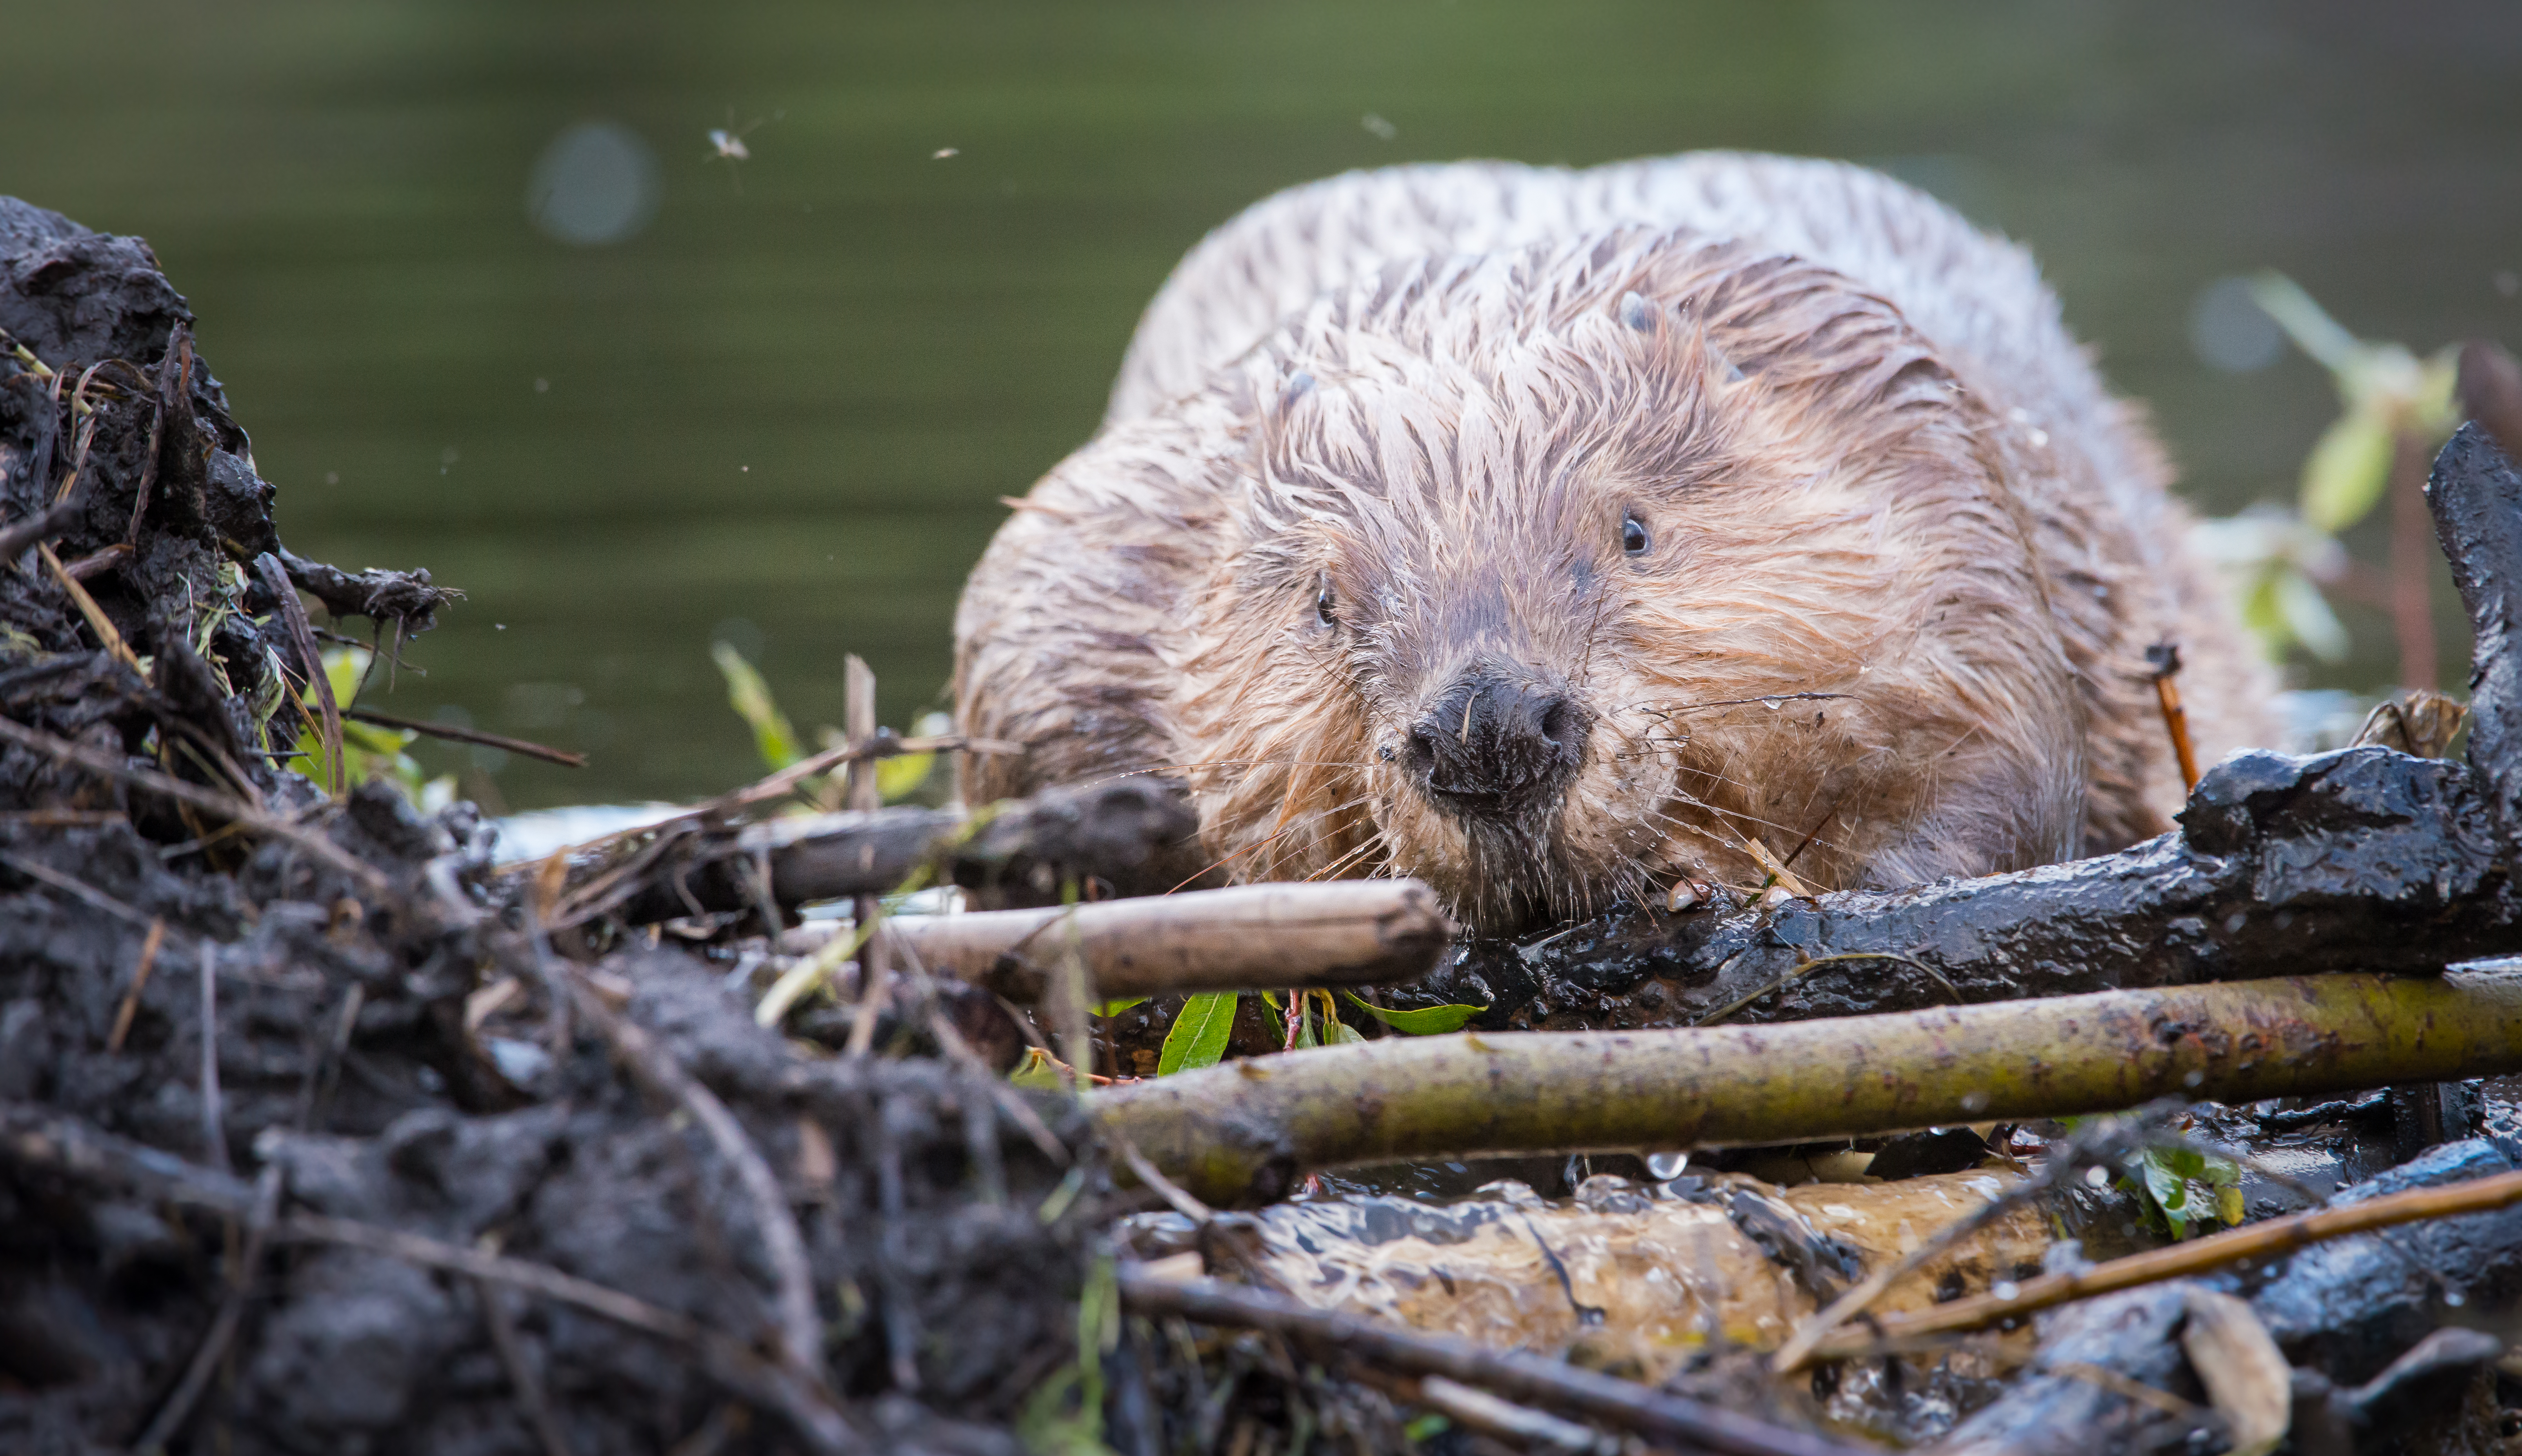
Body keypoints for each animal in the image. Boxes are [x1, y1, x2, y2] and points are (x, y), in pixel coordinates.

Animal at [953, 153, 2280, 929]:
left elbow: (1997, 763)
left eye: (1633, 529)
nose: (1487, 730)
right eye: (1322, 602)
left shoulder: (1931, 467)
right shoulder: (1092, 559)